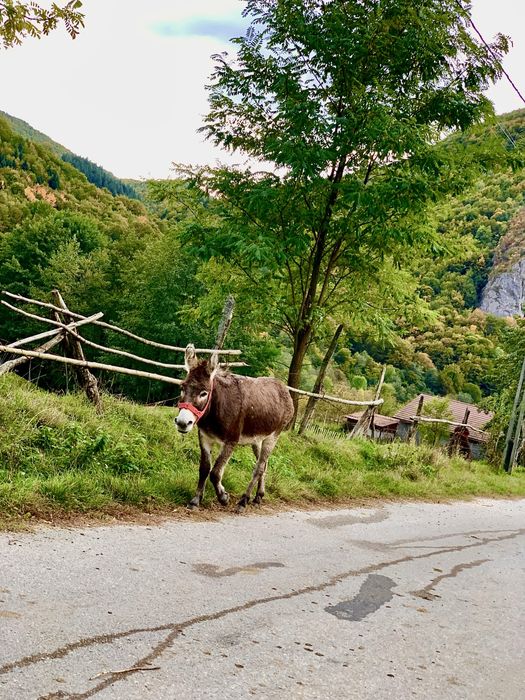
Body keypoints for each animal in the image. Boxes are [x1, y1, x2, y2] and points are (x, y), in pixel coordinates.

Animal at [175, 345, 294, 512]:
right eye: (182, 387)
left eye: (204, 393)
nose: (182, 423)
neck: (216, 406)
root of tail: (283, 387)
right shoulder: (204, 437)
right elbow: (204, 468)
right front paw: (195, 500)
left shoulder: (231, 441)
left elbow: (215, 472)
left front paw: (223, 497)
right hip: (257, 439)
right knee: (264, 465)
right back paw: (258, 497)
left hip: (273, 436)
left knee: (259, 467)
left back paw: (243, 501)